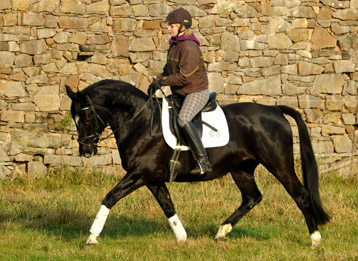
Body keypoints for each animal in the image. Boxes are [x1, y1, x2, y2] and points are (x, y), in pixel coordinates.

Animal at [65, 78, 330, 246]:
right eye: (73, 118)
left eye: (86, 118)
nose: (85, 151)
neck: (141, 122)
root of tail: (275, 110)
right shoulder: (152, 178)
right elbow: (167, 205)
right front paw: (182, 238)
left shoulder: (140, 173)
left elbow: (110, 197)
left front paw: (92, 237)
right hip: (241, 169)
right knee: (252, 197)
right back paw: (222, 232)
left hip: (279, 165)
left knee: (301, 195)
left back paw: (315, 240)